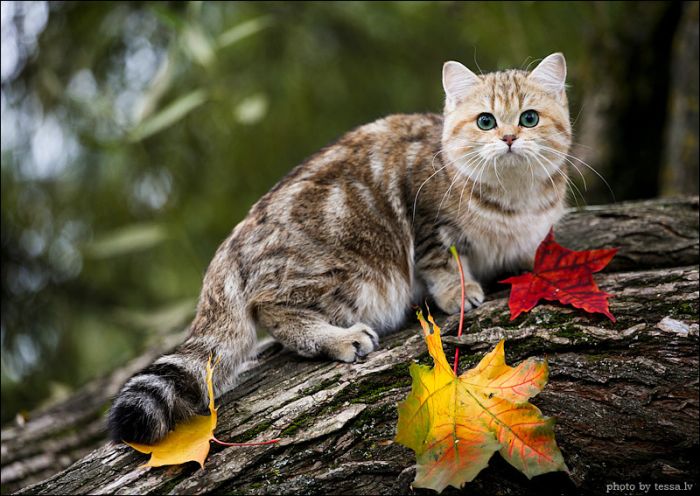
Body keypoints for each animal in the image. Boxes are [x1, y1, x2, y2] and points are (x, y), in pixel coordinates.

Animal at [108, 52, 568, 444]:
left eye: (529, 118)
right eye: (485, 121)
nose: (508, 138)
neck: (514, 197)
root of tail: (229, 247)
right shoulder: (427, 220)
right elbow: (441, 262)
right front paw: (459, 291)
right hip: (350, 273)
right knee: (276, 311)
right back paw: (339, 338)